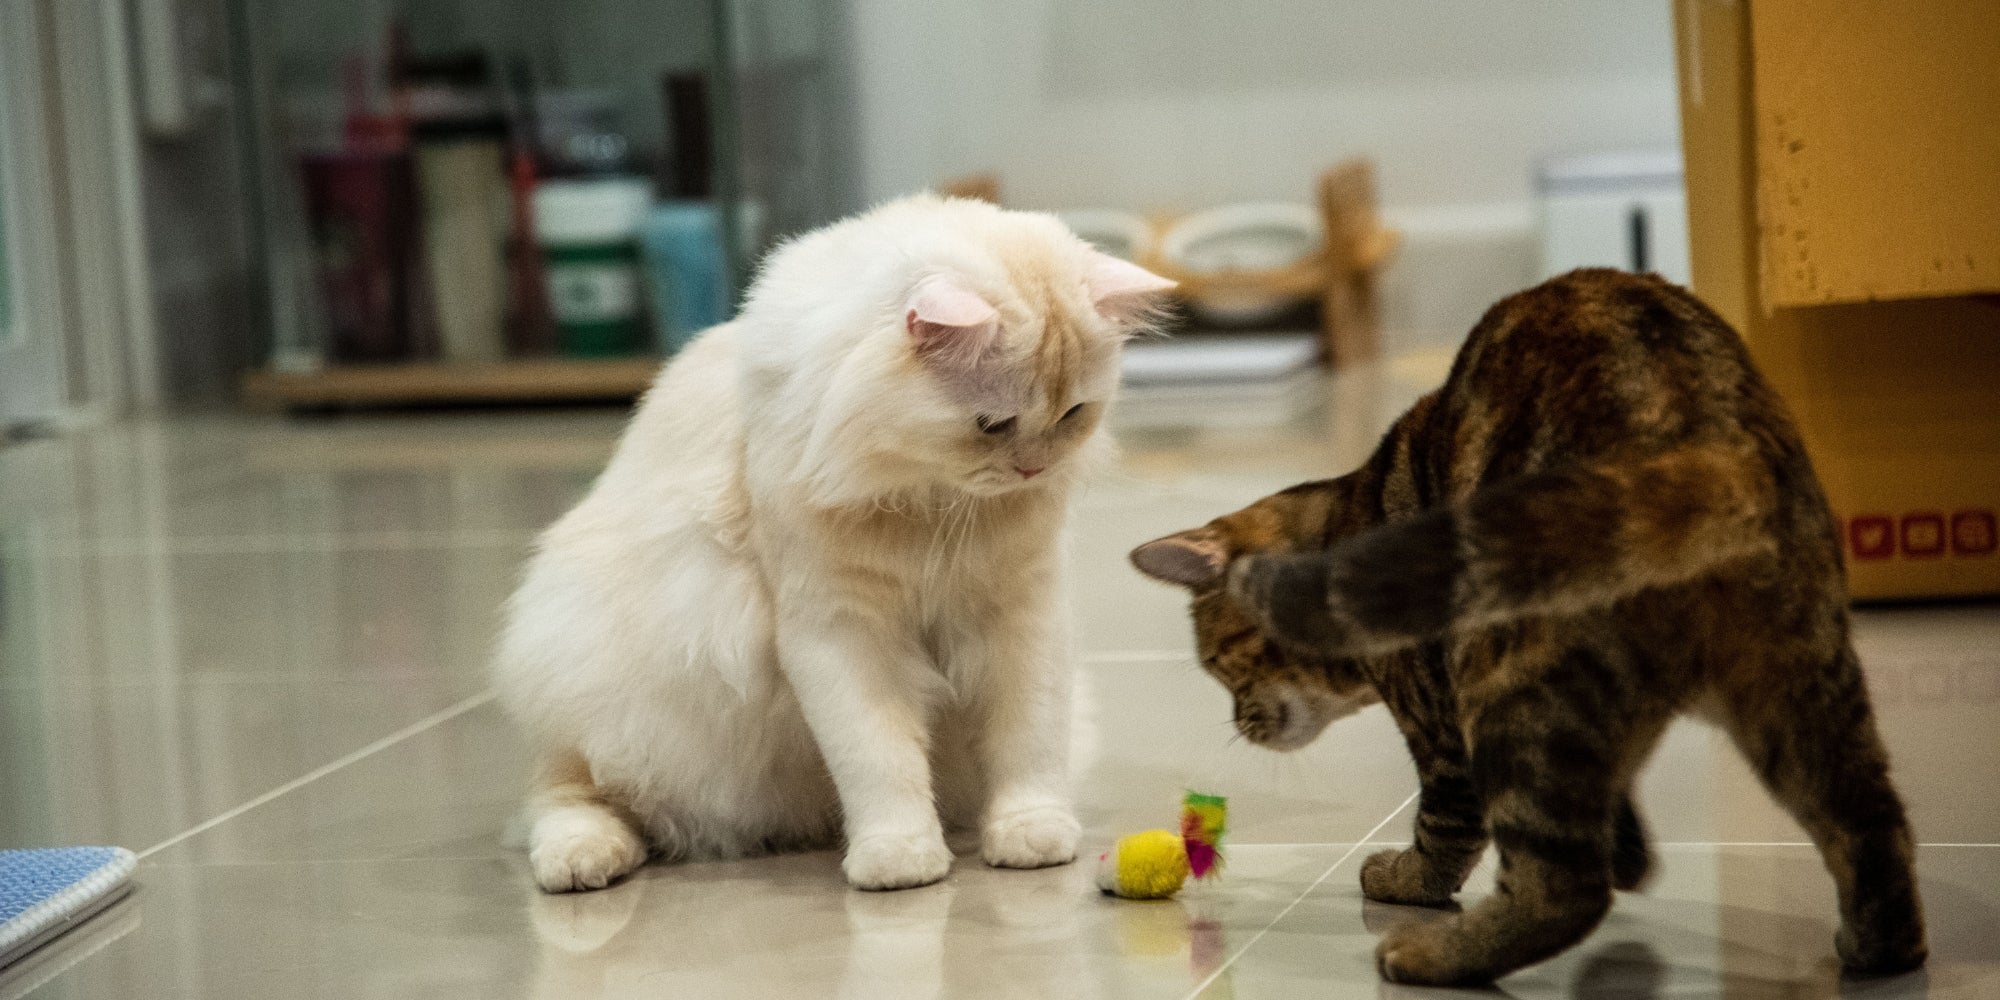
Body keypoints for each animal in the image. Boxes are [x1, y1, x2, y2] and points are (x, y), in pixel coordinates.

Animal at [492, 193, 1168, 892]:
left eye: (1073, 415)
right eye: (992, 424)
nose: (1032, 469)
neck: (928, 505)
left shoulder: (1021, 614)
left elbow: (1028, 742)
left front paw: (1029, 834)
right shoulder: (838, 628)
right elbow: (879, 759)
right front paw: (899, 857)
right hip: (598, 703)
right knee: (567, 799)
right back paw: (582, 862)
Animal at [1128, 270, 1920, 988]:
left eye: (1220, 668)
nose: (1241, 723)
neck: (1352, 513)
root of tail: (1701, 451)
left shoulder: (1438, 724)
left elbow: (1445, 827)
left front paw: (1405, 879)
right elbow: (1613, 802)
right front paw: (1632, 853)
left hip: (1506, 677)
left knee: (1563, 889)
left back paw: (1431, 957)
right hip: (1803, 693)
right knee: (1871, 826)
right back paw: (1882, 950)